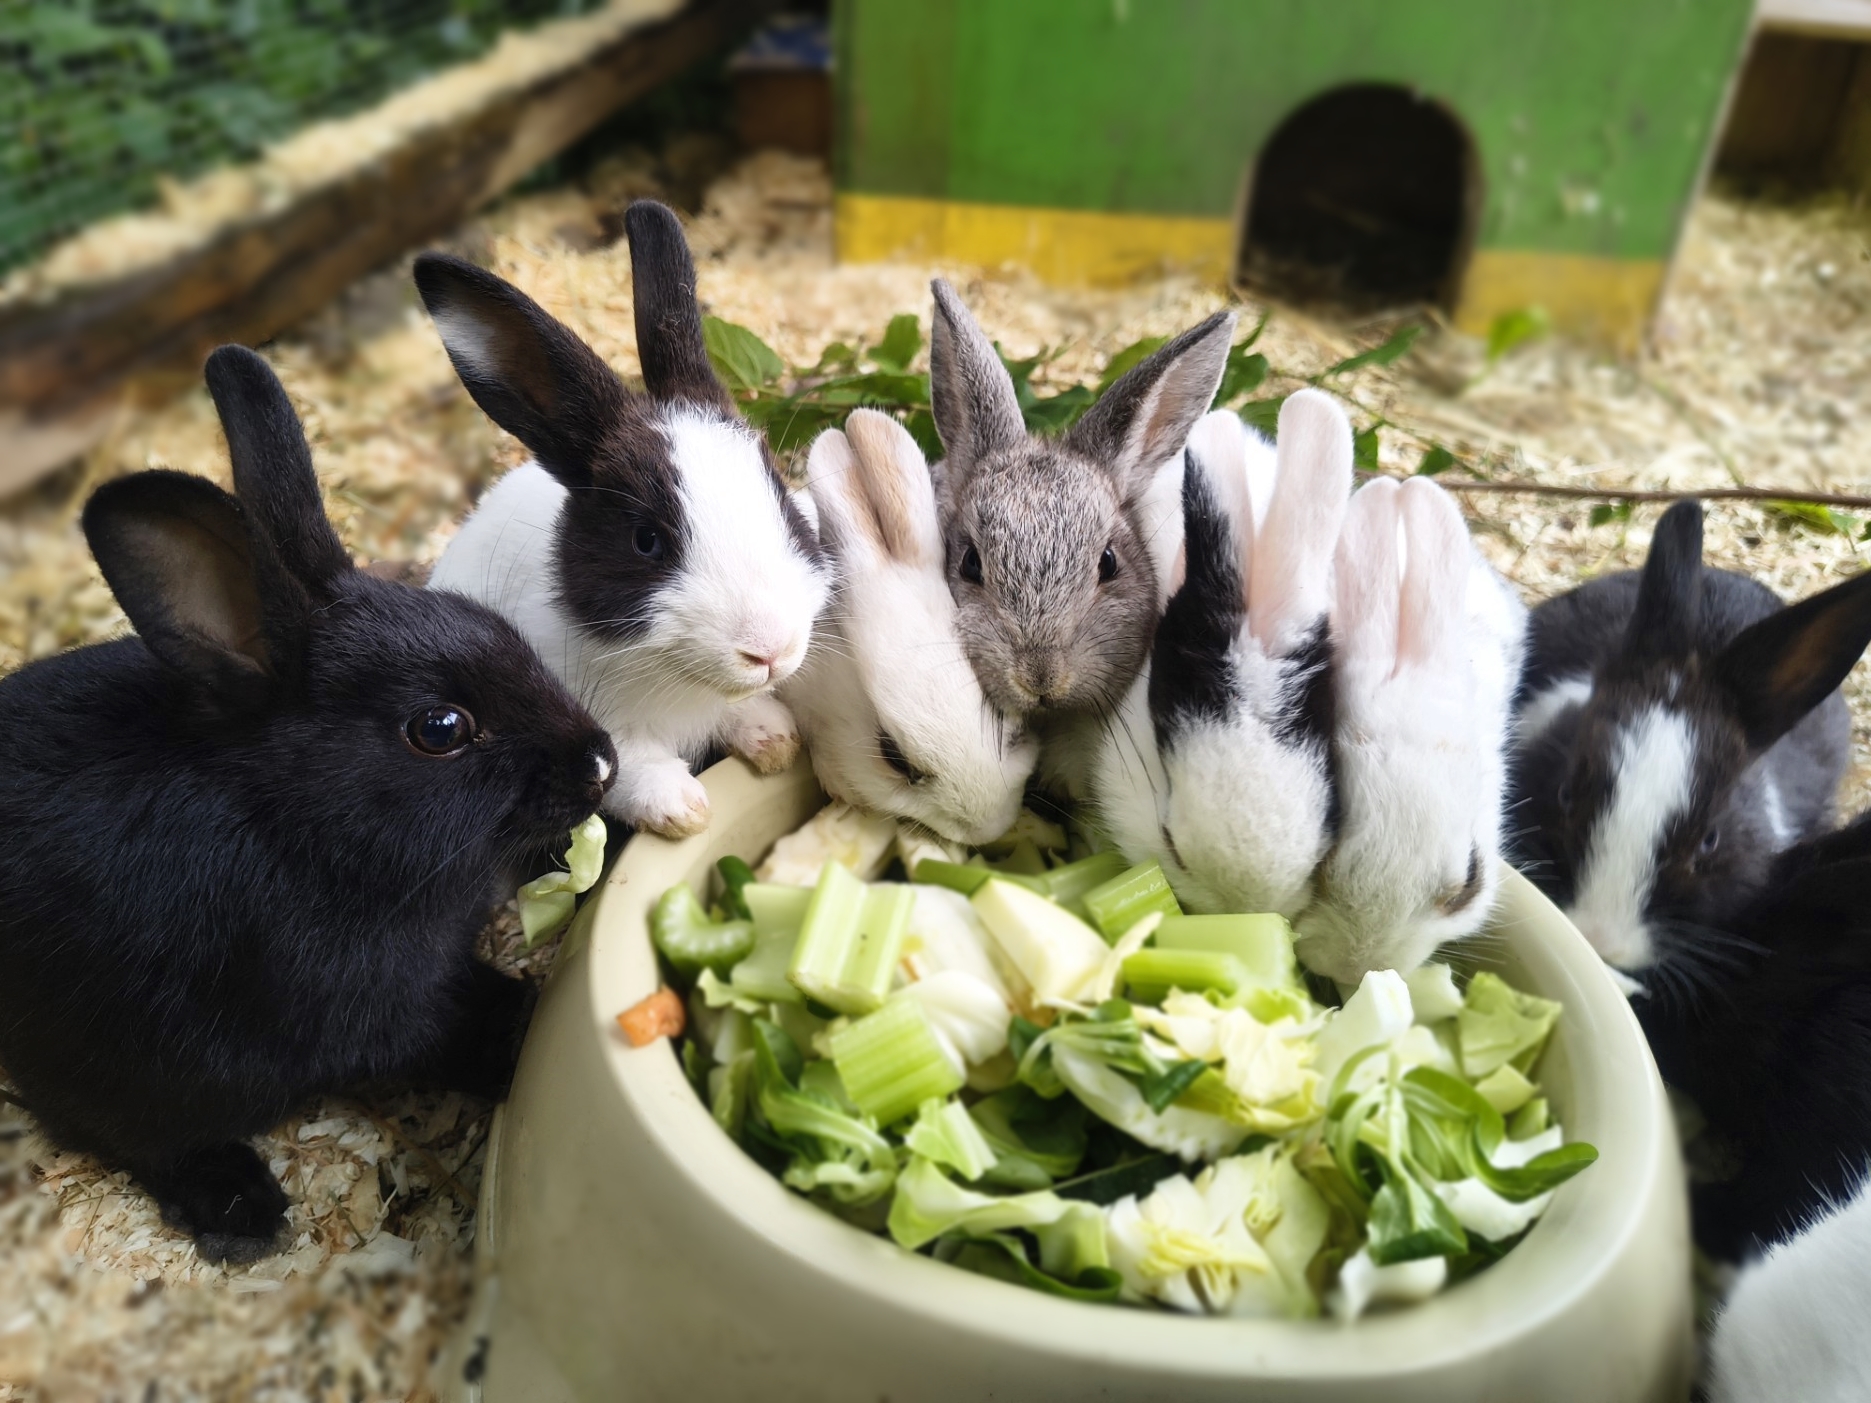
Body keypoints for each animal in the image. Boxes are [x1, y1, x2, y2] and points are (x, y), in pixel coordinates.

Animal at [0, 346, 616, 1264]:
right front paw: (521, 1030)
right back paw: (239, 1207)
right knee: (130, 1133)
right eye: (439, 728)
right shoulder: (368, 1002)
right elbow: (445, 1028)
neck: (294, 823)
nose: (600, 762)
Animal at [417, 200, 830, 839]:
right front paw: (684, 812)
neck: (679, 681)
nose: (770, 651)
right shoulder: (596, 732)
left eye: (783, 501)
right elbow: (631, 768)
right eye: (646, 541)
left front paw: (775, 741)